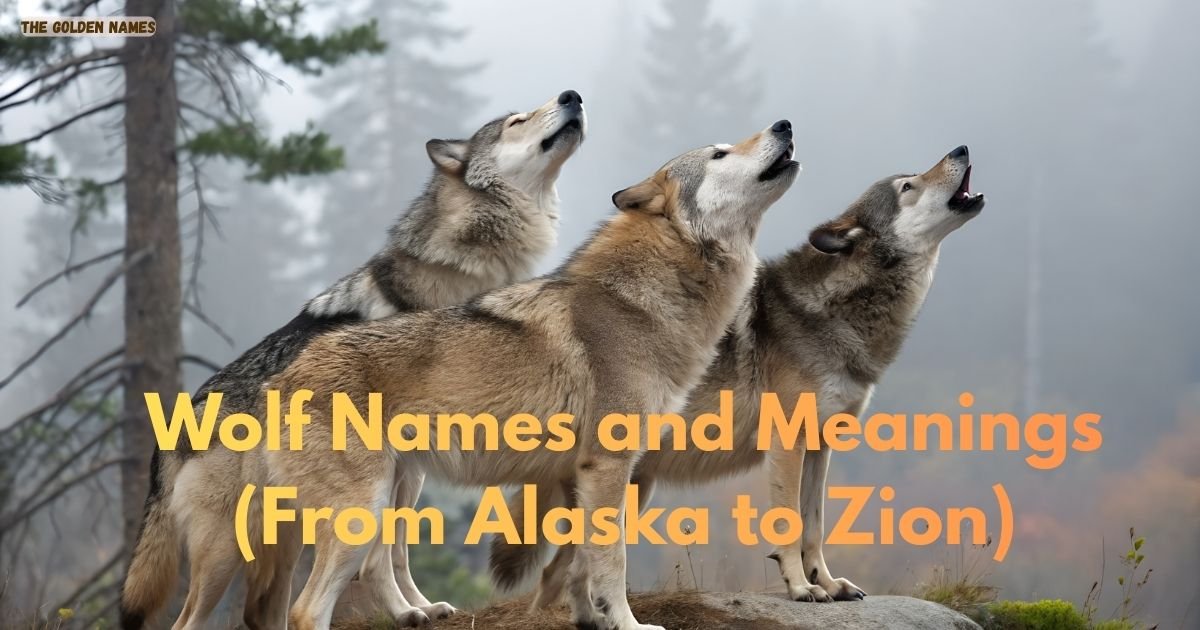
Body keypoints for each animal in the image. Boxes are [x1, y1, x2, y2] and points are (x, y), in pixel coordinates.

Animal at [119, 90, 587, 630]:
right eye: (517, 120)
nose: (572, 96)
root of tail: (180, 420)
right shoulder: (400, 464)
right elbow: (383, 553)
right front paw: (404, 610)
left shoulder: (409, 465)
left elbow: (397, 547)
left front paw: (417, 607)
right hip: (226, 551)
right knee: (194, 618)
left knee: (262, 611)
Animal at [264, 121, 800, 630]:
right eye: (720, 154)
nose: (785, 126)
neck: (641, 300)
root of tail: (282, 378)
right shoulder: (608, 466)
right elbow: (611, 562)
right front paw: (627, 623)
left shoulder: (584, 476)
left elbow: (578, 564)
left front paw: (590, 619)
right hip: (366, 512)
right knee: (306, 610)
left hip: (397, 495)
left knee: (372, 570)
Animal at [493, 146, 986, 607]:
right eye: (908, 185)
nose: (961, 149)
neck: (837, 309)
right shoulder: (787, 442)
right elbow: (789, 524)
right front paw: (801, 587)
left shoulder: (820, 445)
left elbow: (814, 525)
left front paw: (827, 583)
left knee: (556, 575)